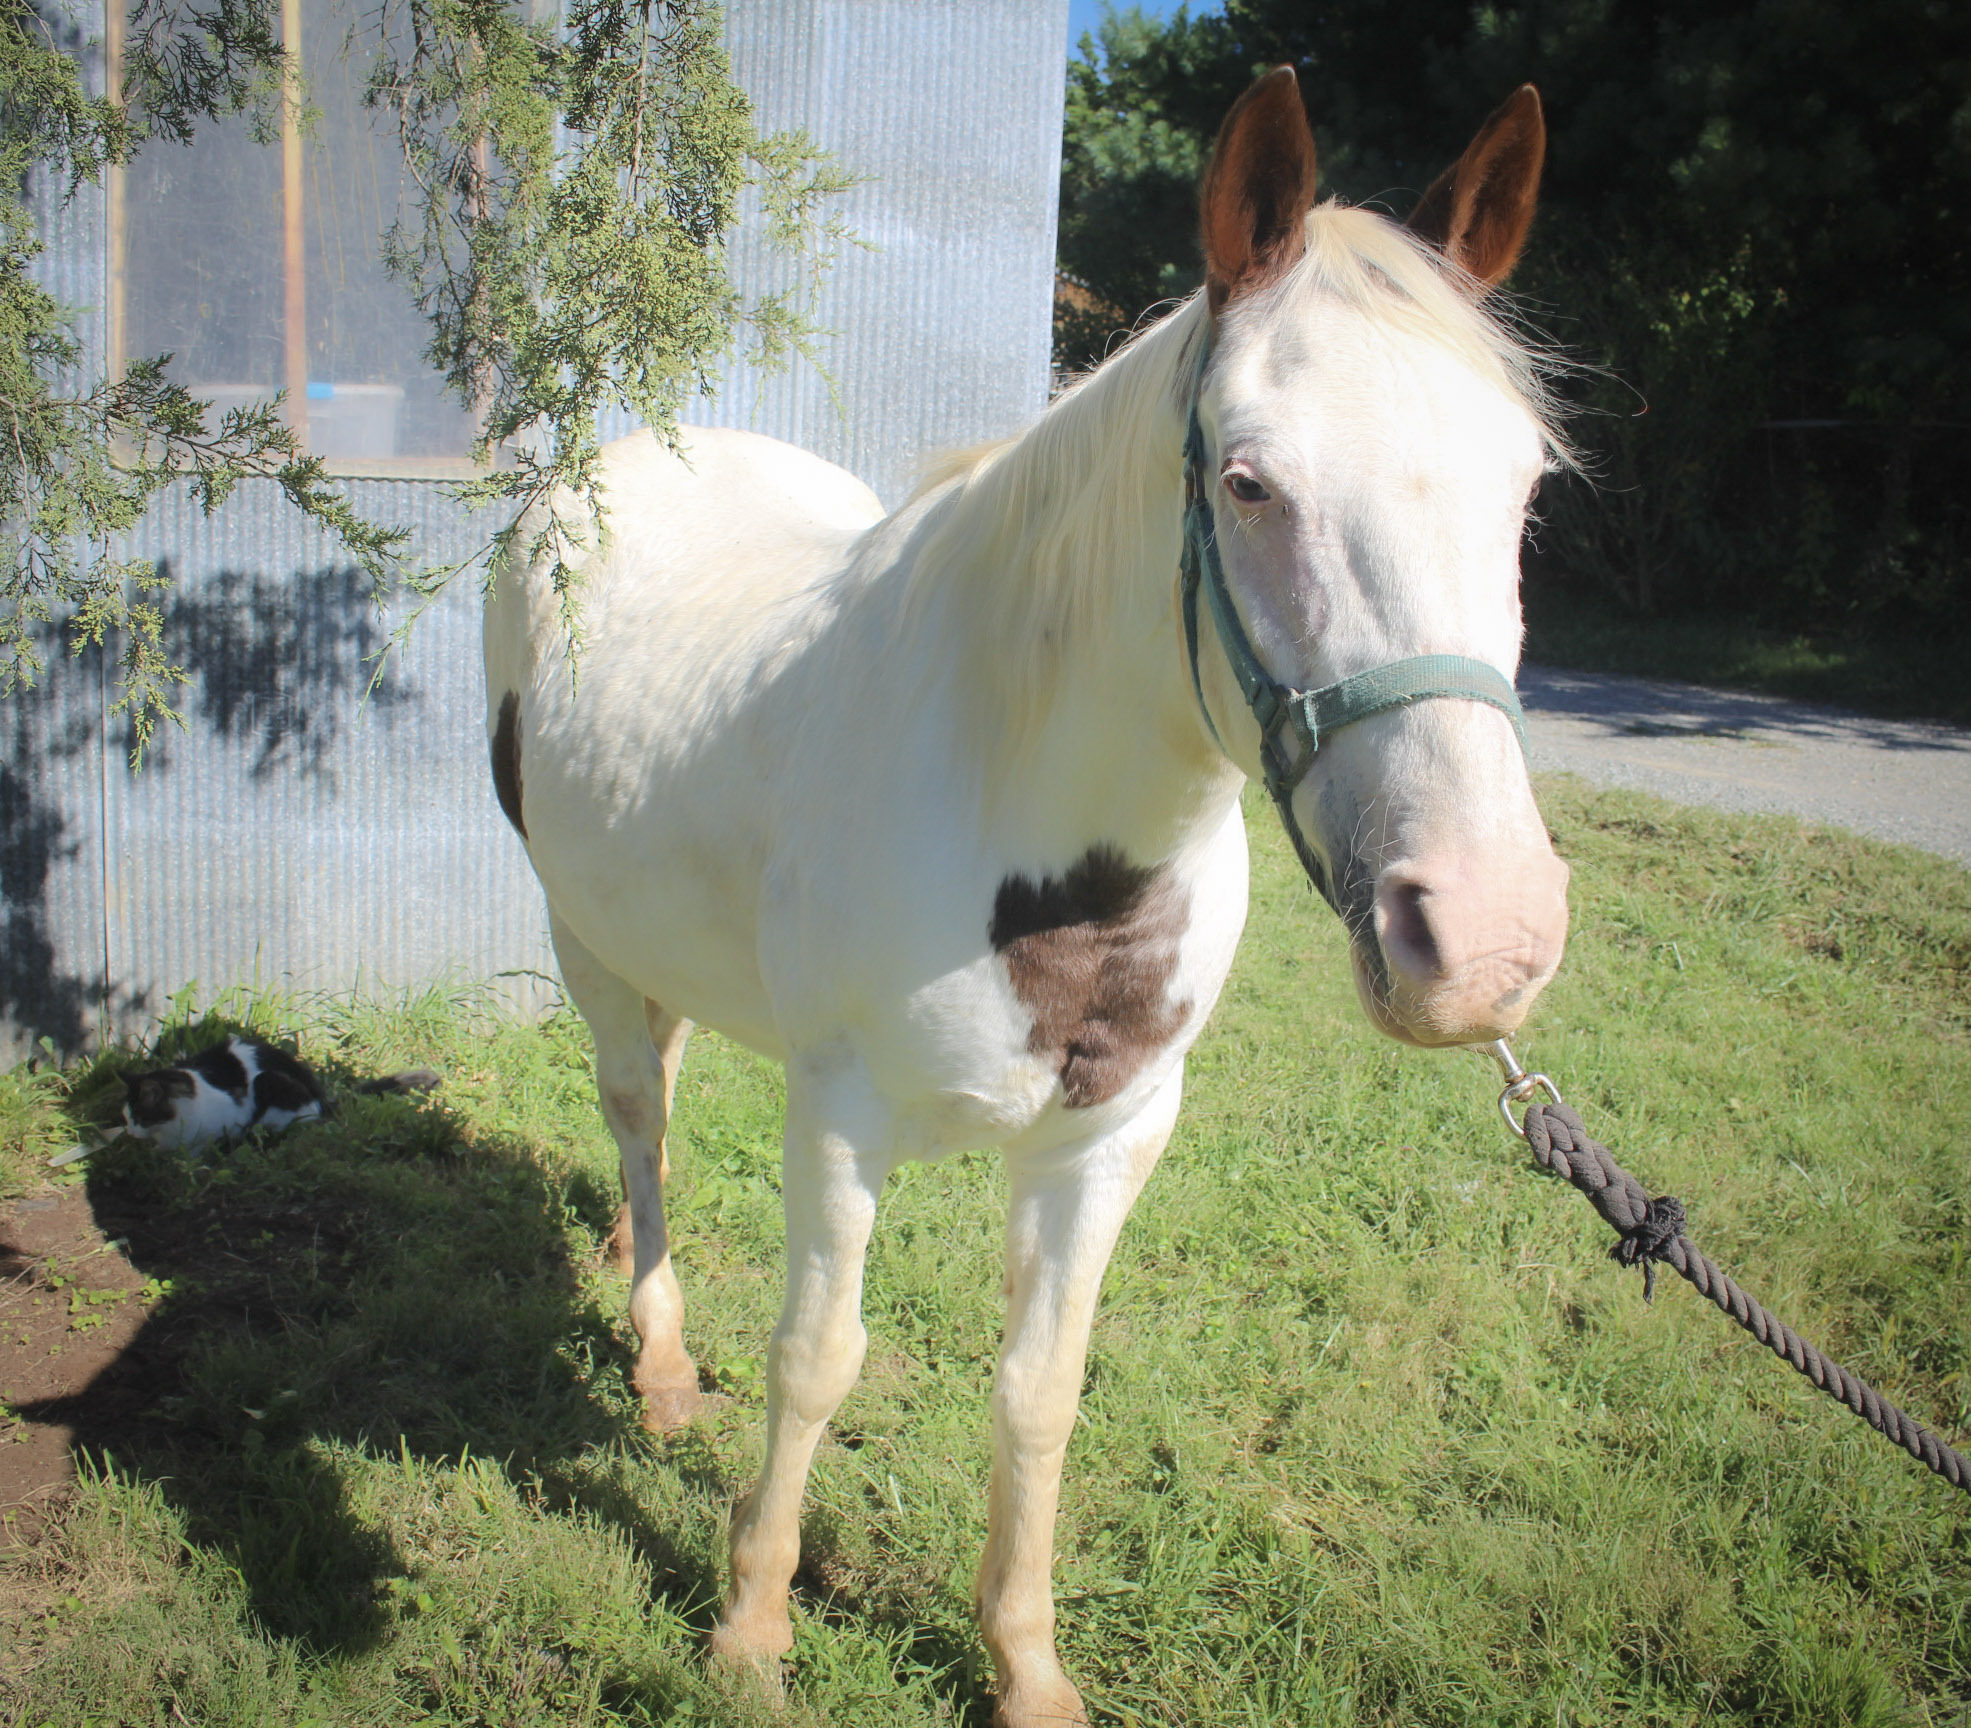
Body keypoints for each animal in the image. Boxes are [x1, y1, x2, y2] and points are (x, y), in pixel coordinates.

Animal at [483, 67, 1571, 1728]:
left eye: (1522, 489)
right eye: (1247, 481)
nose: (1481, 938)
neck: (1035, 836)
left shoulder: (1107, 1141)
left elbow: (1039, 1392)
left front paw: (1022, 1662)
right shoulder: (840, 1123)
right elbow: (816, 1359)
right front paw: (749, 1628)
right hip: (581, 939)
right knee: (639, 1120)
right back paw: (660, 1365)